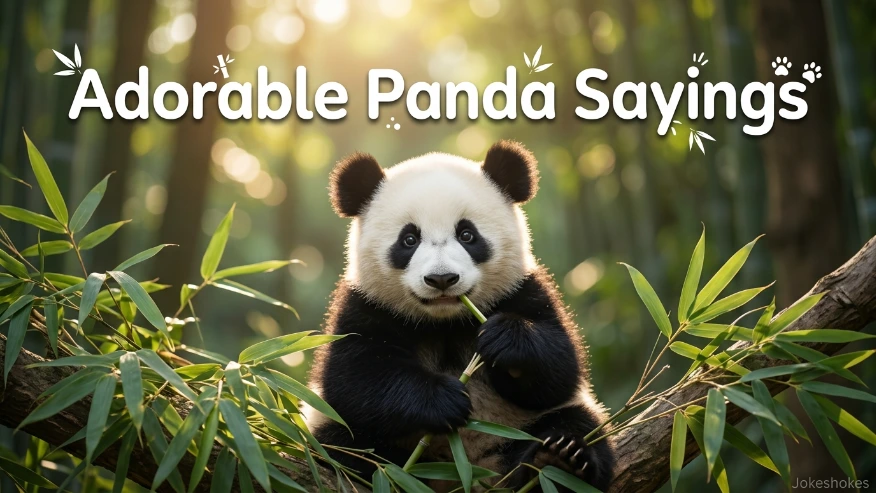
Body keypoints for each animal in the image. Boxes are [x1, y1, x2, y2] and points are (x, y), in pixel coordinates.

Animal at [306, 141, 616, 491]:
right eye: (409, 239)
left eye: (467, 235)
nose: (441, 278)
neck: (445, 321)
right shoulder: (364, 307)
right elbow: (355, 380)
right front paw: (445, 399)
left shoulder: (524, 291)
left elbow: (560, 369)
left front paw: (505, 340)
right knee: (344, 447)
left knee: (576, 425)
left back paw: (557, 462)